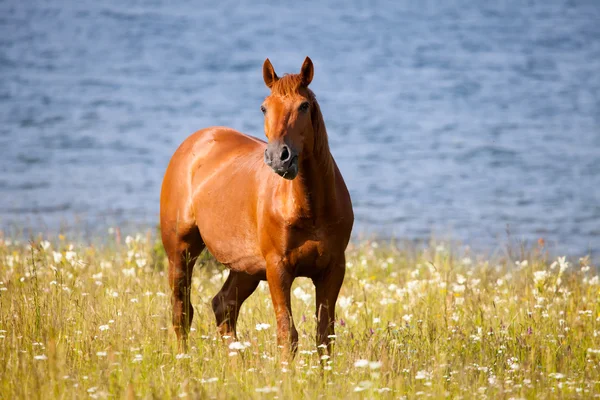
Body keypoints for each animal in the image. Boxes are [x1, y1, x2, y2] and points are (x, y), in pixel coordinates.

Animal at [162, 56, 354, 356]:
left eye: (303, 105)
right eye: (264, 107)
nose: (279, 157)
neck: (309, 209)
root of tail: (193, 143)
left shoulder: (332, 269)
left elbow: (324, 336)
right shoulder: (278, 269)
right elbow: (287, 334)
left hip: (245, 268)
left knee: (223, 307)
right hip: (181, 251)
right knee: (181, 312)